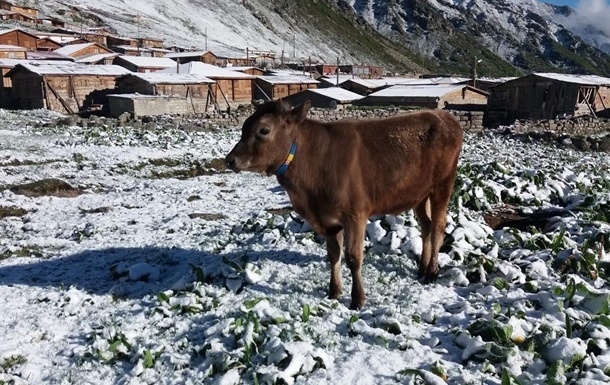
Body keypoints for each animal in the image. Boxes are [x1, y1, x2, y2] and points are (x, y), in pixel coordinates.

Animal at [224, 100, 460, 308]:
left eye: (264, 130)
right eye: (244, 126)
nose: (230, 160)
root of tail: (443, 115)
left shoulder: (355, 214)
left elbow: (353, 258)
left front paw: (358, 300)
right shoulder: (327, 219)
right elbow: (333, 255)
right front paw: (334, 292)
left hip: (443, 185)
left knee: (438, 227)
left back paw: (431, 272)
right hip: (420, 193)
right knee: (426, 225)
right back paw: (422, 268)